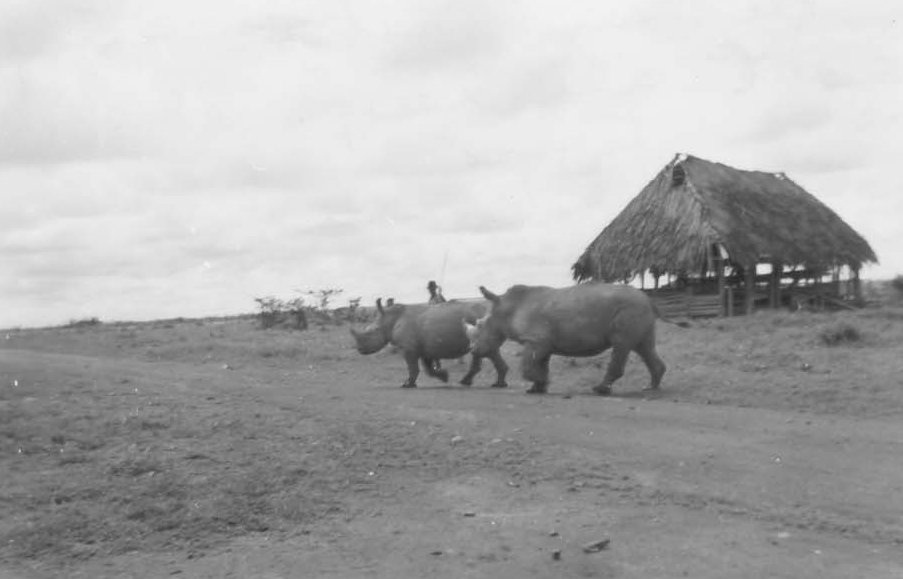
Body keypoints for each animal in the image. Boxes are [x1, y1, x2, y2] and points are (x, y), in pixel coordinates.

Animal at [350, 298, 508, 389]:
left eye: (372, 331)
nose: (359, 349)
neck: (389, 319)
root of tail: (489, 311)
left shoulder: (409, 348)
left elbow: (413, 367)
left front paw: (407, 385)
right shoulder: (423, 349)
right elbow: (428, 369)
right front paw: (444, 377)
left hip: (481, 325)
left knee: (488, 351)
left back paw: (496, 385)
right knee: (482, 351)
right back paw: (472, 383)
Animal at [465, 282, 686, 395]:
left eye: (481, 325)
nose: (474, 350)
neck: (506, 308)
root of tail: (649, 300)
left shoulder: (535, 340)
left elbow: (528, 365)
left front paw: (541, 383)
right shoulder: (543, 342)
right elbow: (541, 364)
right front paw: (538, 388)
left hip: (630, 309)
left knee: (622, 345)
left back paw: (600, 390)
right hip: (638, 310)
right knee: (644, 347)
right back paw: (651, 388)